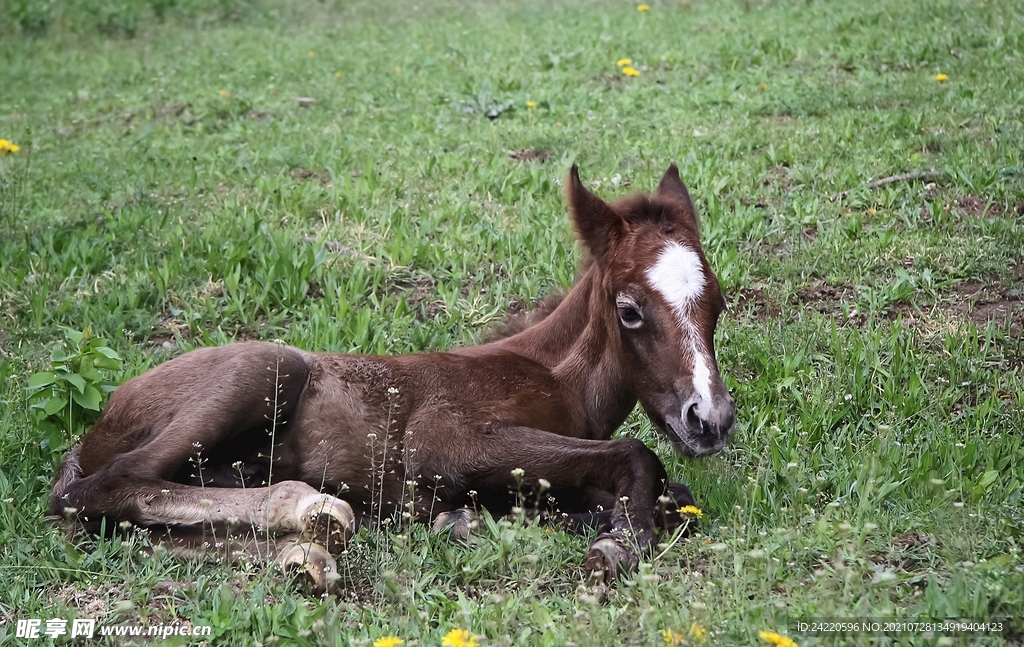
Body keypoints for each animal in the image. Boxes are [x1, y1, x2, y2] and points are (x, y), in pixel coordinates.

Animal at [50, 164, 736, 590]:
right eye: (630, 309)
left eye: (718, 302)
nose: (710, 419)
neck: (554, 376)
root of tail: (99, 423)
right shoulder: (441, 440)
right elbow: (638, 456)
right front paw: (615, 544)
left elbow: (670, 497)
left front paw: (476, 520)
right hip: (268, 367)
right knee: (104, 489)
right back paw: (309, 508)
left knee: (130, 524)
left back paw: (306, 552)